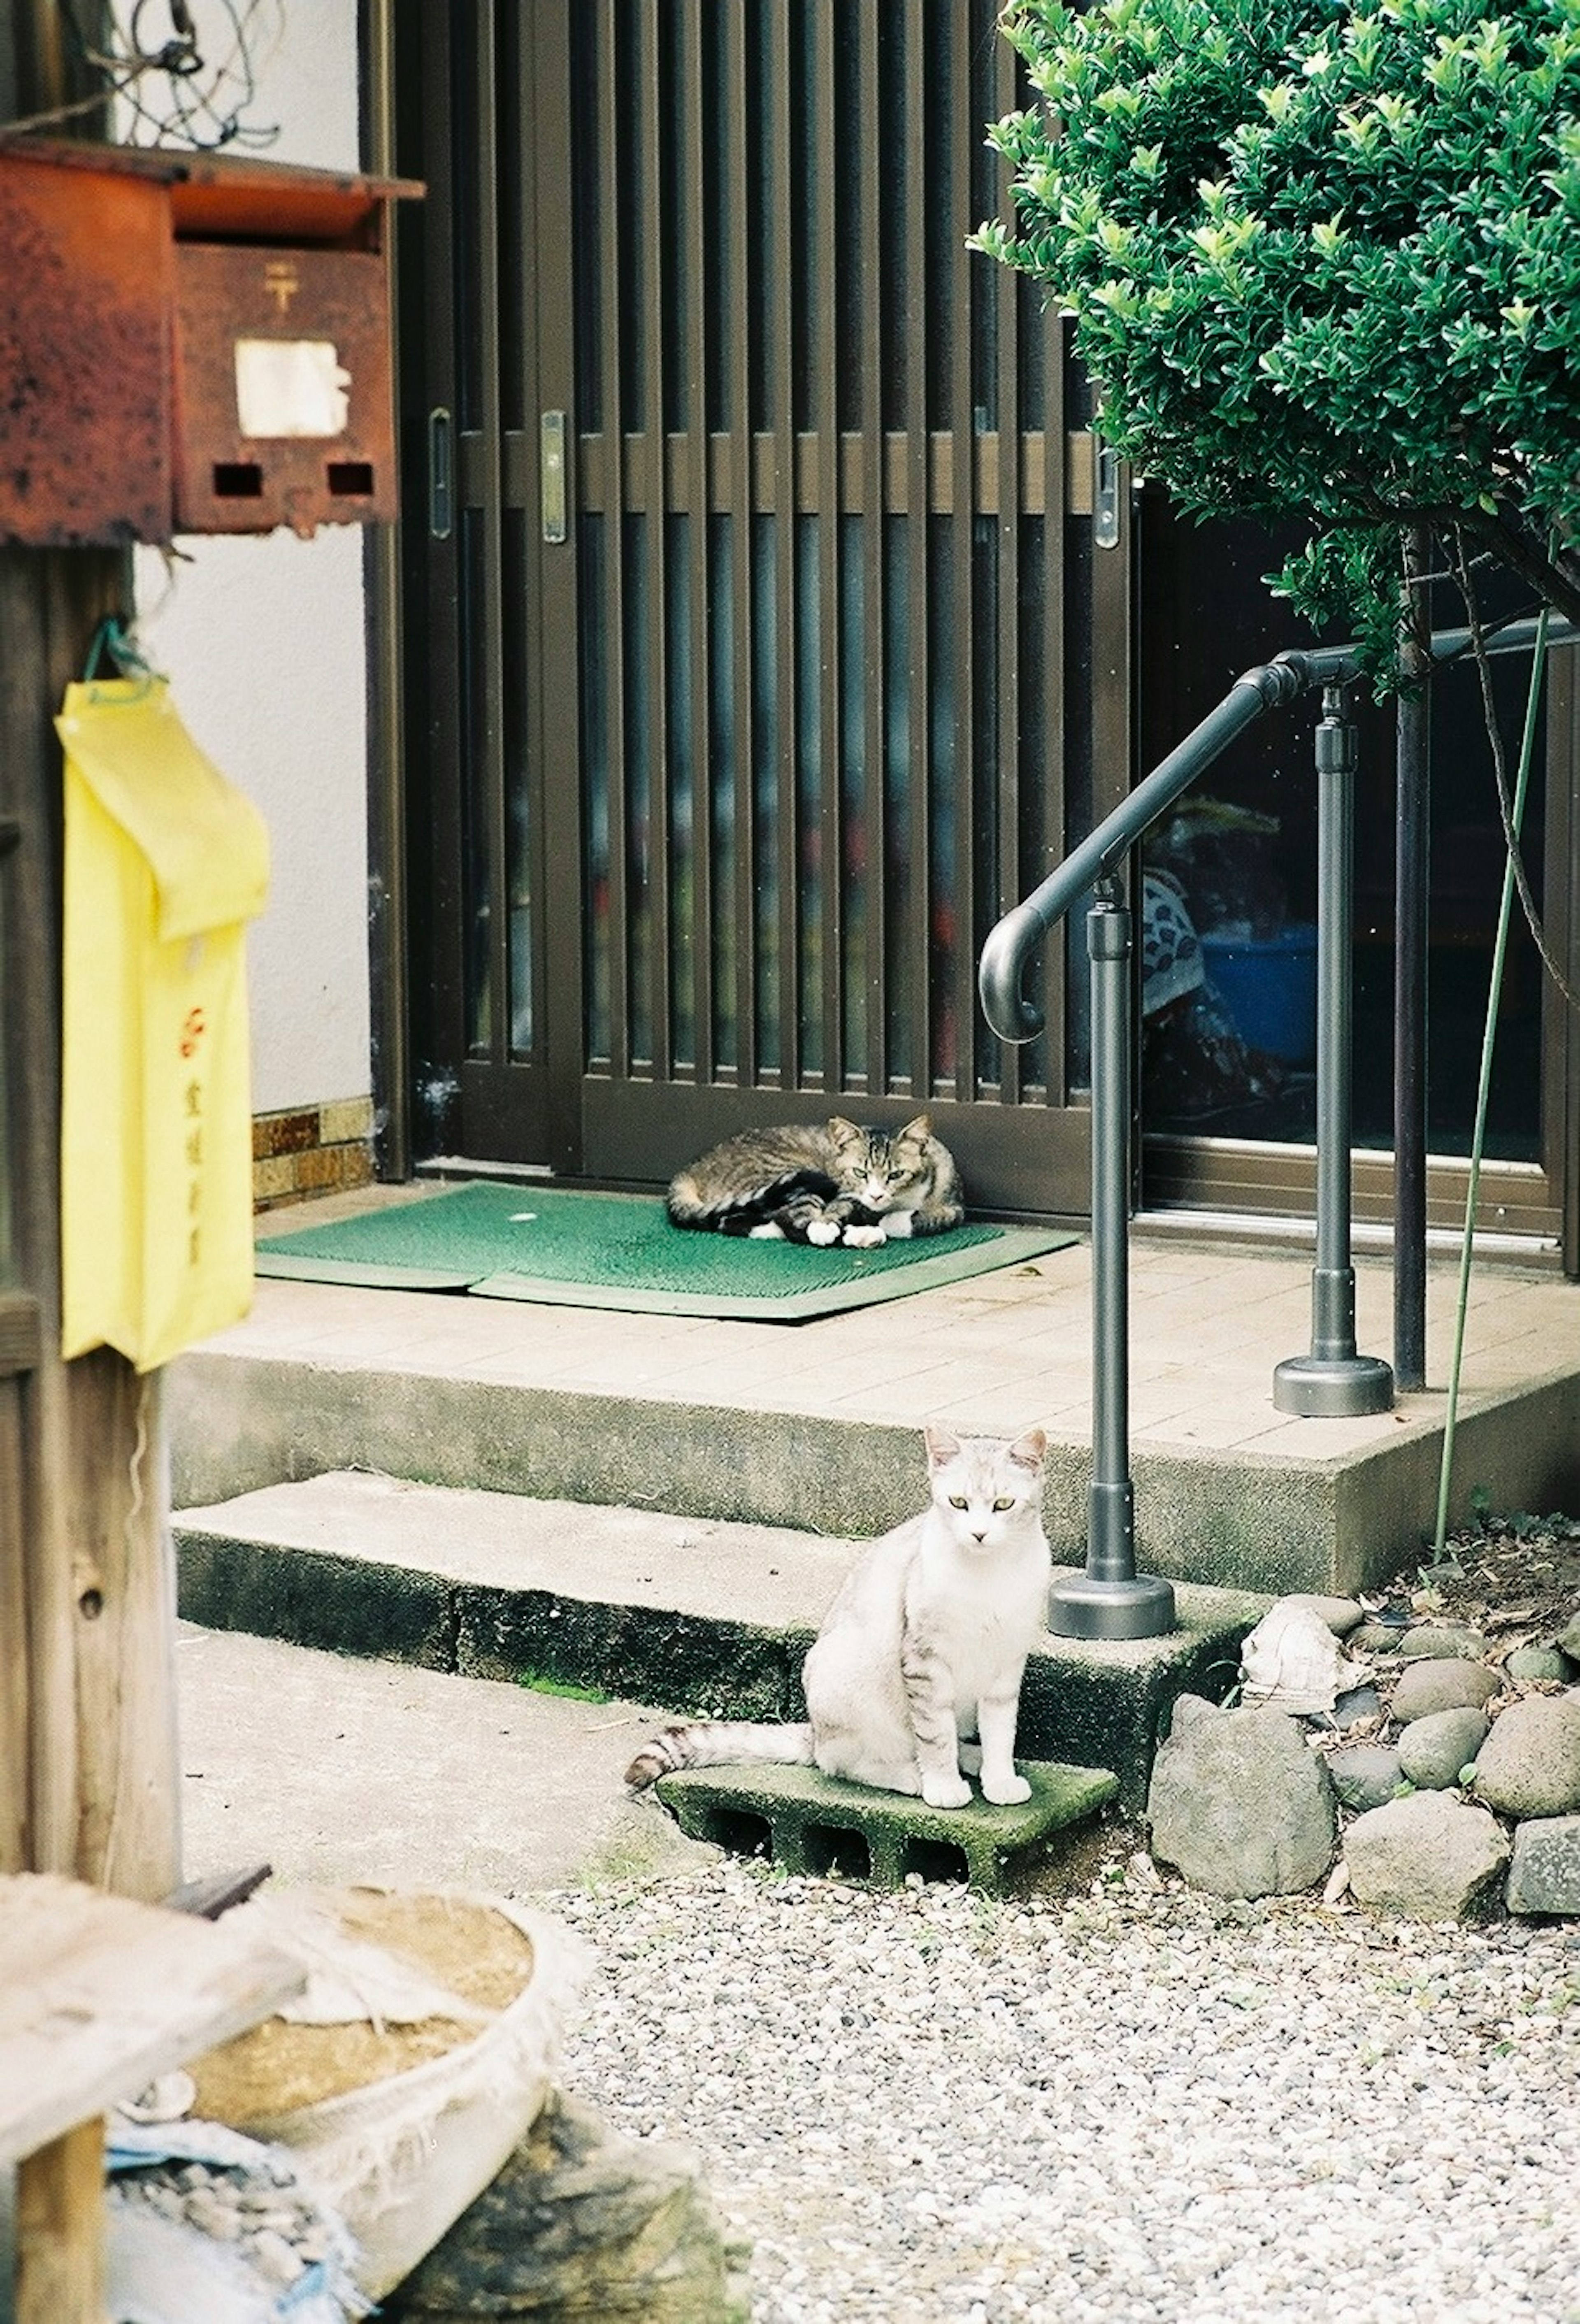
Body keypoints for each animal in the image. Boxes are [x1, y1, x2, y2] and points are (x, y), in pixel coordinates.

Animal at [627, 1413, 1050, 1813]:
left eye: (1004, 1505)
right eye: (958, 1503)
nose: (979, 1534)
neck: (987, 1576)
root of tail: (814, 1733)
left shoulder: (1007, 1664)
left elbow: (1000, 1731)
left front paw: (1000, 1779)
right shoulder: (924, 1663)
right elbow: (935, 1735)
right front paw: (943, 1786)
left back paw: (974, 1759)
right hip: (847, 1678)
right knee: (841, 1763)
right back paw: (911, 1775)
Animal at [665, 1111, 962, 1246]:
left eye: (896, 1174)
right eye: (860, 1173)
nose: (876, 1195)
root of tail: (695, 1167)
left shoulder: (954, 1204)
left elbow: (934, 1217)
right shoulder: (845, 1194)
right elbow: (840, 1210)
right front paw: (831, 1225)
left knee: (730, 1220)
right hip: (792, 1172)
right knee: (791, 1218)